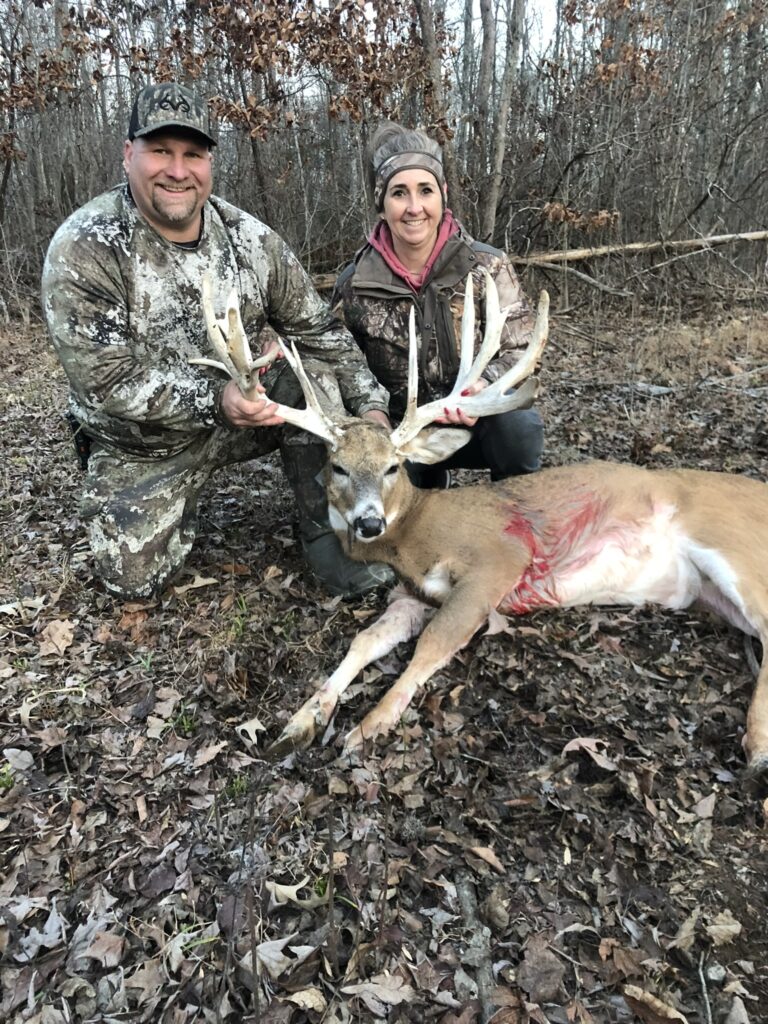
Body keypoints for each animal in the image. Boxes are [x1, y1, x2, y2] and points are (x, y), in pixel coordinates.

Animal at [195, 273, 768, 775]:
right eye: (338, 467)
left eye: (393, 467)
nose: (369, 523)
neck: (414, 539)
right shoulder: (410, 595)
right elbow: (362, 642)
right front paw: (300, 722)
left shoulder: (497, 559)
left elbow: (433, 645)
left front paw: (368, 726)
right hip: (708, 593)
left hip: (732, 550)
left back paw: (758, 747)